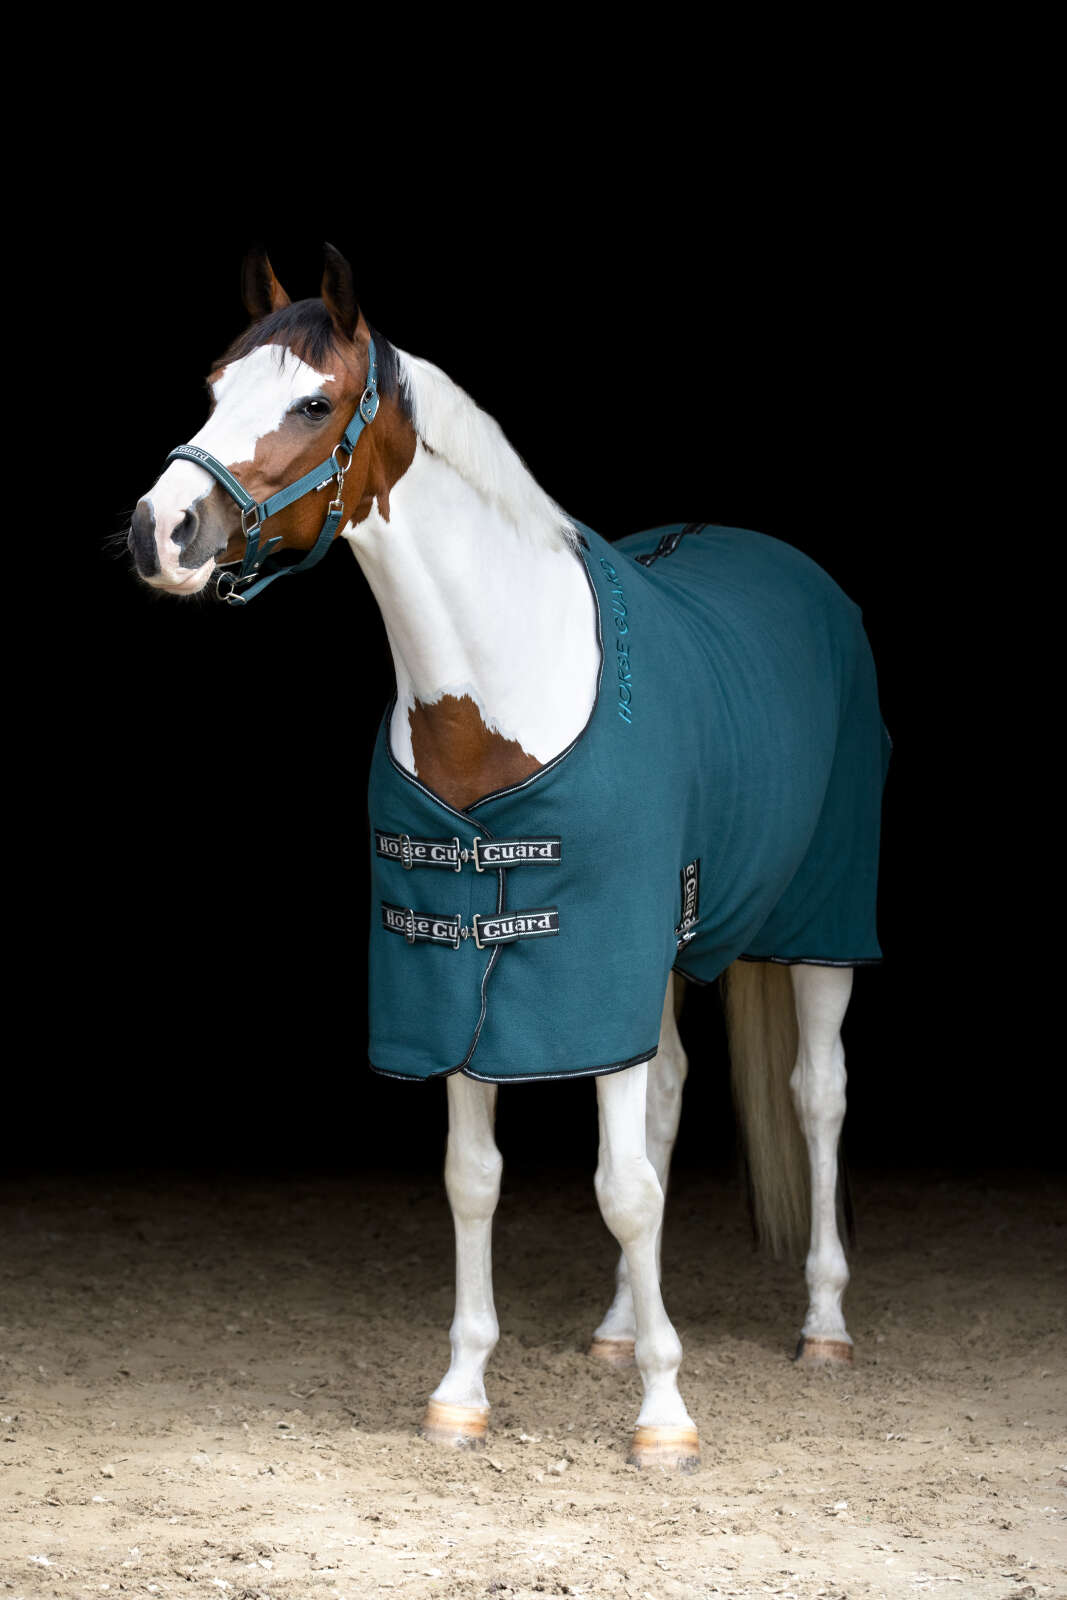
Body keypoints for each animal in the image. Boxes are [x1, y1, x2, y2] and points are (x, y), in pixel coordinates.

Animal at [126, 244, 890, 1472]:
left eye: (314, 402)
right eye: (212, 387)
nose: (164, 531)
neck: (500, 695)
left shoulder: (588, 962)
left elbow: (623, 1188)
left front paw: (665, 1418)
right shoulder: (458, 977)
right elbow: (476, 1181)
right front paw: (461, 1392)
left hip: (817, 928)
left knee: (817, 1097)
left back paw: (822, 1324)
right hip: (655, 961)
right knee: (665, 1094)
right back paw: (621, 1328)